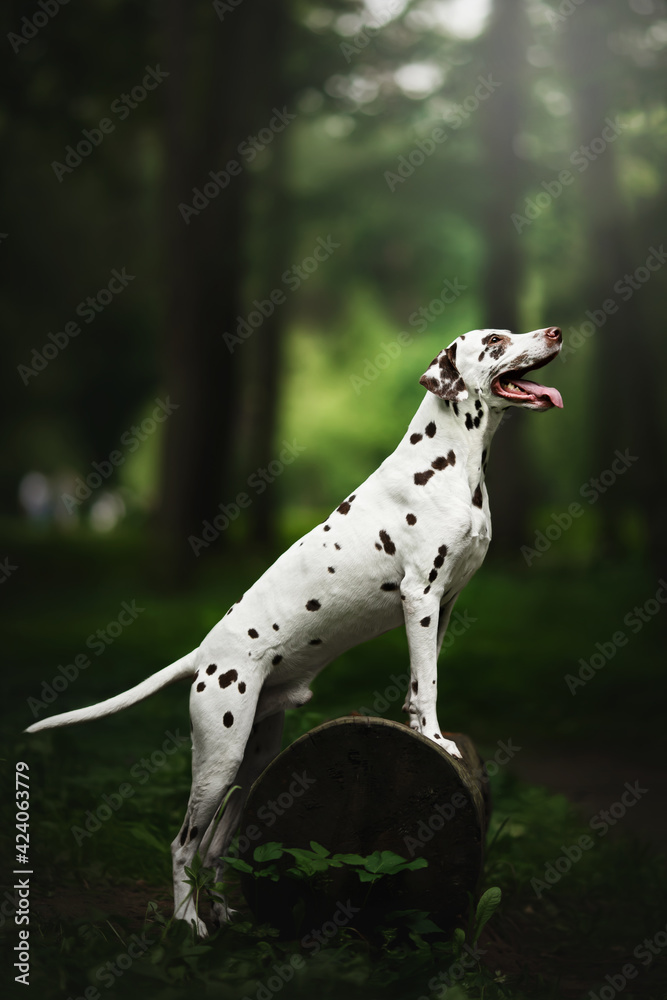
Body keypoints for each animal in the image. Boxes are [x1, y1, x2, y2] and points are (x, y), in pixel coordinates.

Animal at [24, 324, 564, 932]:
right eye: (494, 341)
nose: (554, 331)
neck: (450, 462)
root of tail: (203, 655)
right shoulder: (420, 596)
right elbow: (426, 684)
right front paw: (432, 737)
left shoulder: (444, 604)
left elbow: (421, 679)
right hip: (218, 758)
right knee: (184, 844)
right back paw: (189, 923)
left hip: (254, 759)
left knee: (214, 846)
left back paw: (225, 911)